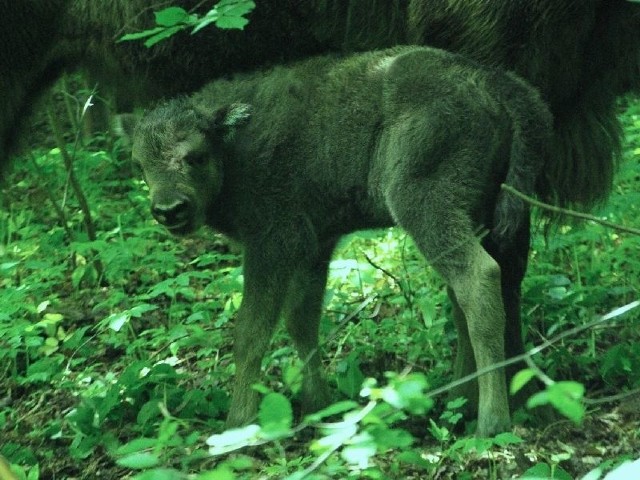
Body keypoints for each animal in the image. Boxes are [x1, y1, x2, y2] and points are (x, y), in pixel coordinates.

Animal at [132, 45, 552, 436]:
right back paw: (482, 400)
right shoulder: (315, 245)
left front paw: (238, 424)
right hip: (496, 218)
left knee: (478, 280)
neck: (233, 144)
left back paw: (491, 421)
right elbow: (302, 321)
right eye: (141, 163)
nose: (169, 210)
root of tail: (493, 80)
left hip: (425, 205)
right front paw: (318, 408)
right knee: (497, 289)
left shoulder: (272, 244)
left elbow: (251, 332)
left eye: (196, 156)